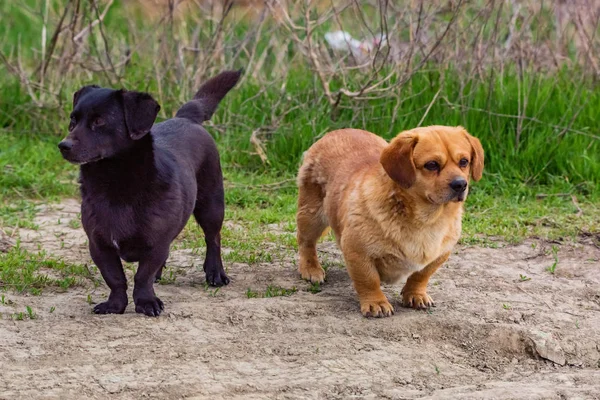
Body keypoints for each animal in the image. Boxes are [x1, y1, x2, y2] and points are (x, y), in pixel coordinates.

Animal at [58, 70, 241, 318]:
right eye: (73, 120)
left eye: (99, 121)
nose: (63, 145)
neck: (115, 182)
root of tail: (186, 118)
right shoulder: (99, 245)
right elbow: (115, 278)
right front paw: (115, 305)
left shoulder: (156, 243)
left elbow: (142, 276)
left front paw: (146, 302)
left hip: (211, 206)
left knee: (213, 238)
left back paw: (215, 273)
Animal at [298, 126, 486, 318]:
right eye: (432, 164)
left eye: (464, 161)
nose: (460, 184)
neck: (428, 219)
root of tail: (337, 131)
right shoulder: (356, 251)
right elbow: (369, 280)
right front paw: (376, 302)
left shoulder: (440, 254)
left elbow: (421, 276)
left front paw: (416, 294)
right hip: (311, 217)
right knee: (306, 243)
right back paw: (311, 269)